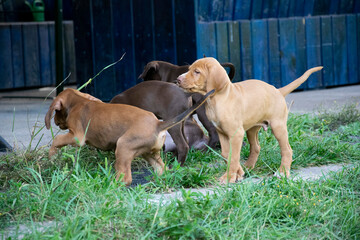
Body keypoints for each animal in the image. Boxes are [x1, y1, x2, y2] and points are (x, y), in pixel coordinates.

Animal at [45, 87, 214, 185]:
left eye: (56, 112)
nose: (55, 122)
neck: (78, 100)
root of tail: (157, 124)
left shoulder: (77, 137)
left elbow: (57, 139)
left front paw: (51, 155)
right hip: (149, 153)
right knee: (162, 169)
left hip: (123, 146)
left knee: (126, 178)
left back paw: (110, 184)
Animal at [177, 56, 324, 184]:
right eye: (189, 69)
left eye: (197, 72)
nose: (178, 79)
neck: (217, 100)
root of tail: (277, 90)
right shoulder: (222, 133)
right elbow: (226, 154)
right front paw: (238, 173)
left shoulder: (236, 133)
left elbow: (234, 156)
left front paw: (229, 177)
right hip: (252, 129)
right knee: (256, 147)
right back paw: (248, 167)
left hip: (278, 126)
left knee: (287, 149)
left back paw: (282, 172)